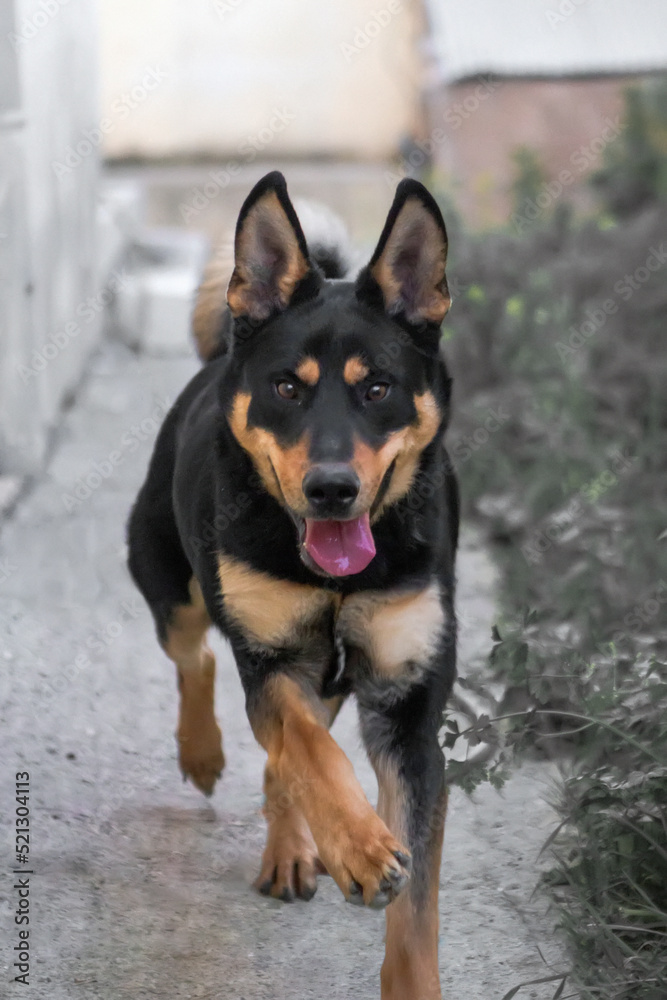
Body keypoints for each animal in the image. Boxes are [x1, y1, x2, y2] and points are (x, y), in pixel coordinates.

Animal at [127, 170, 458, 999]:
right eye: (285, 388)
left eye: (377, 389)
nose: (331, 490)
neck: (340, 579)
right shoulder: (271, 658)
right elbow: (310, 754)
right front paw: (360, 848)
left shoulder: (406, 709)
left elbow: (416, 911)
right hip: (169, 585)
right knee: (198, 659)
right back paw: (205, 755)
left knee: (284, 750)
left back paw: (291, 848)